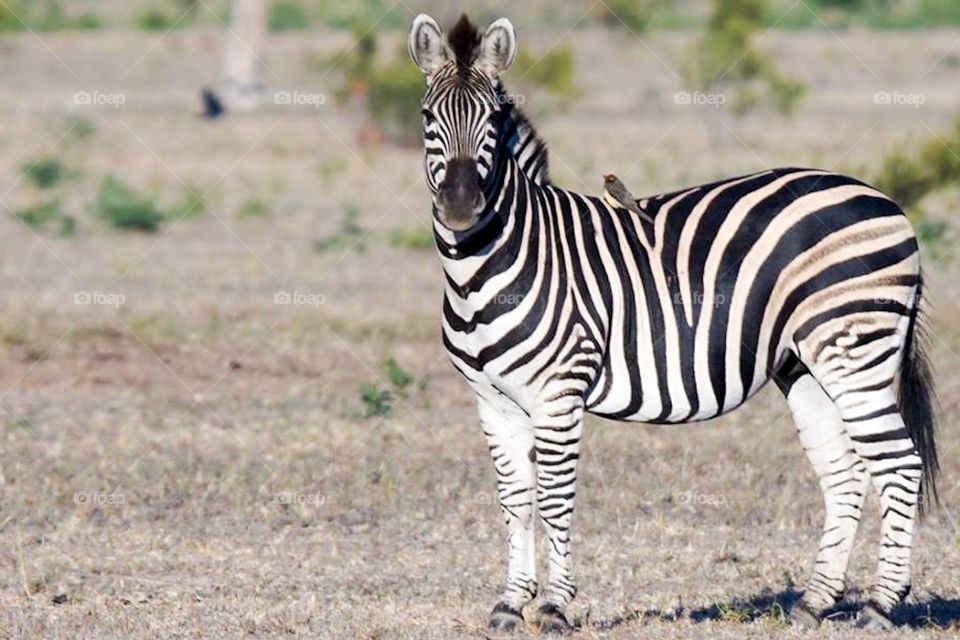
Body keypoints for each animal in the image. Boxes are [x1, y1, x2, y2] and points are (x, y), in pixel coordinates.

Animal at [408, 13, 939, 633]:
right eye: (427, 119)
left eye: (492, 120)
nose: (460, 207)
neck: (490, 266)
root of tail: (885, 200)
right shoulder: (491, 399)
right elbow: (516, 500)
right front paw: (511, 603)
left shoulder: (560, 391)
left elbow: (555, 497)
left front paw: (557, 606)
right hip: (806, 366)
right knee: (845, 474)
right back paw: (814, 602)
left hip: (855, 351)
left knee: (899, 464)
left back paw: (880, 605)